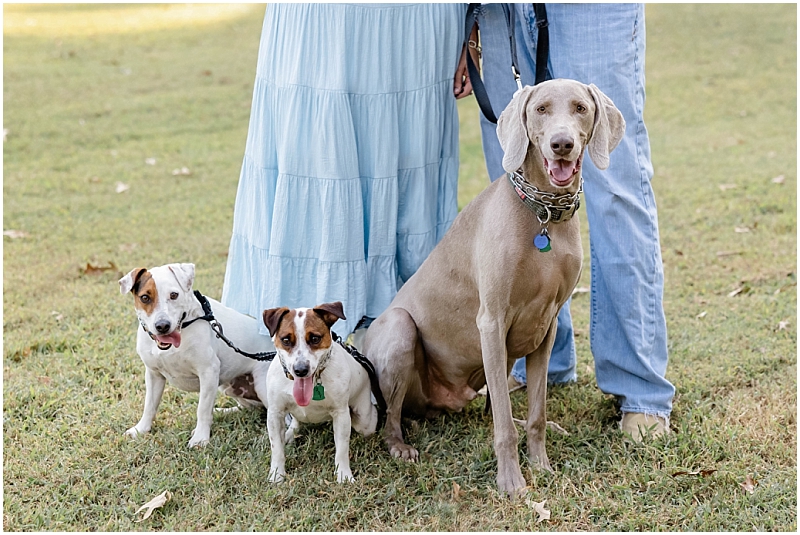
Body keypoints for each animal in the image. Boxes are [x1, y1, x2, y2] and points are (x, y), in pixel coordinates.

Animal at [119, 264, 274, 448]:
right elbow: (149, 405)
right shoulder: (153, 375)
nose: (162, 326)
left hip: (264, 387)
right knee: (252, 408)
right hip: (228, 386)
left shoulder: (208, 372)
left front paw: (200, 438)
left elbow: (203, 409)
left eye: (174, 295)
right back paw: (225, 411)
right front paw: (141, 429)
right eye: (144, 297)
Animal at [260, 302, 376, 486]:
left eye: (315, 338)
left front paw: (344, 475)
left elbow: (342, 449)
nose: (300, 370)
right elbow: (277, 449)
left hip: (365, 421)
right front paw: (277, 475)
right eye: (286, 340)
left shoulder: (341, 414)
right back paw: (289, 434)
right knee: (296, 422)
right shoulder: (275, 413)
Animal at [362, 79, 624, 498]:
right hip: (401, 329)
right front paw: (512, 482)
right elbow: (501, 426)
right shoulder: (492, 321)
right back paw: (401, 446)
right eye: (541, 109)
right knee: (393, 418)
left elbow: (535, 412)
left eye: (581, 108)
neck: (544, 214)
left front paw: (542, 465)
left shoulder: (546, 327)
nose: (562, 144)